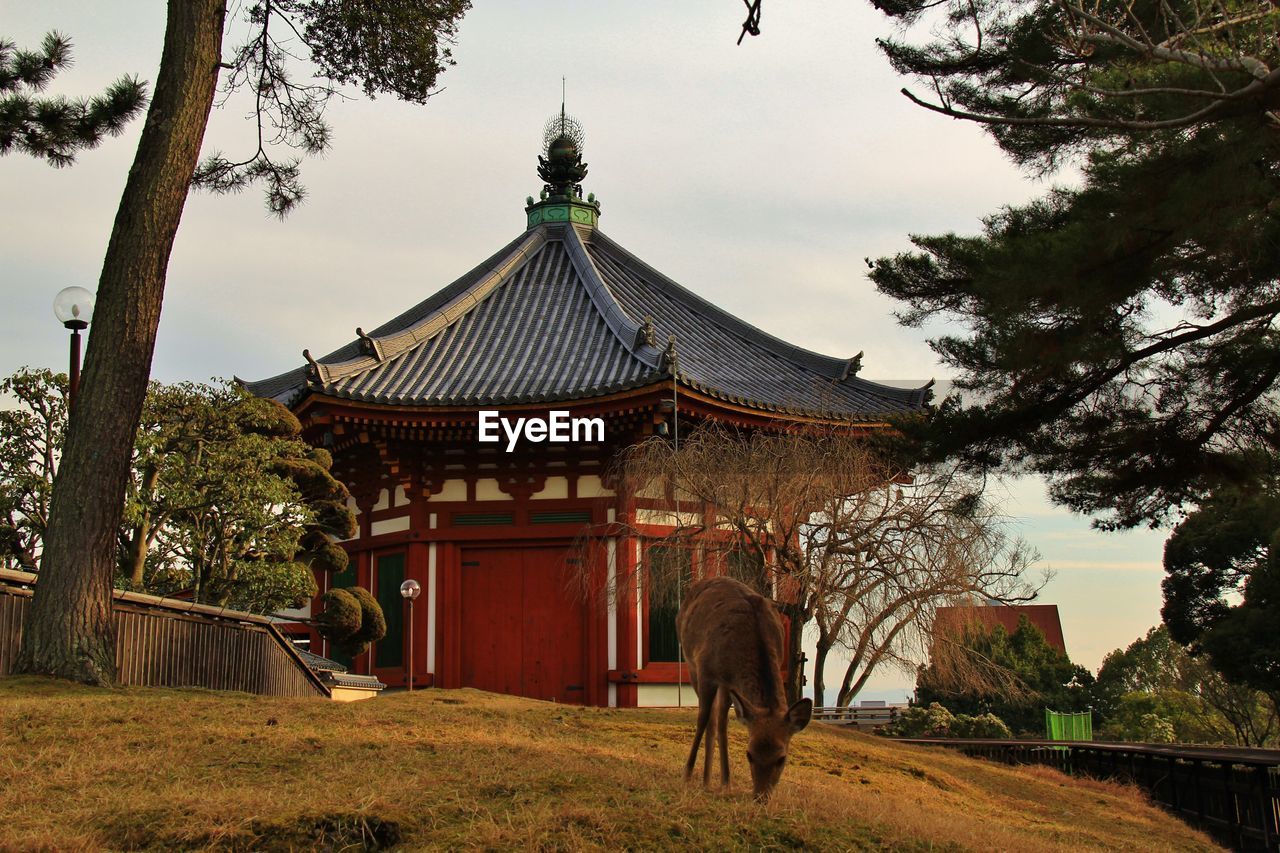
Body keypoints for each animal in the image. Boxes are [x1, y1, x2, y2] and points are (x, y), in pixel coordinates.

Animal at [680, 571, 808, 799]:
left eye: (782, 758)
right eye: (749, 754)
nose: (761, 796)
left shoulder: (730, 682)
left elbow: (721, 722)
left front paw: (725, 782)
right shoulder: (705, 670)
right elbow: (701, 719)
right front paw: (686, 775)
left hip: (726, 686)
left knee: (719, 721)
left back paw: (713, 780)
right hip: (691, 663)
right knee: (710, 719)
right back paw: (703, 778)